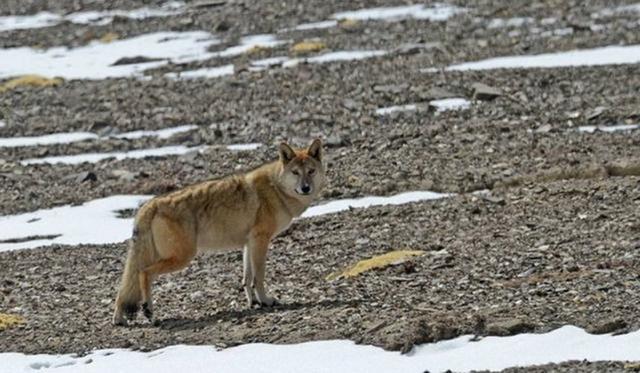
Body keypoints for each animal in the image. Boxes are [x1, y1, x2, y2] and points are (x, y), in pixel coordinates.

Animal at [112, 138, 324, 324]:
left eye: (311, 171)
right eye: (295, 172)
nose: (305, 188)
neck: (276, 189)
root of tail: (149, 205)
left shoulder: (249, 243)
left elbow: (247, 278)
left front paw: (254, 303)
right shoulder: (260, 240)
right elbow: (258, 277)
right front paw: (265, 301)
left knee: (124, 291)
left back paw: (120, 320)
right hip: (182, 258)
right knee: (144, 274)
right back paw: (148, 311)